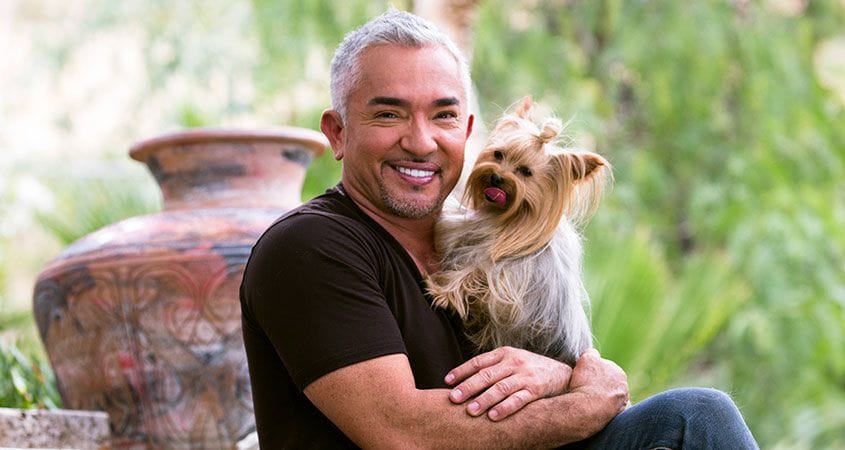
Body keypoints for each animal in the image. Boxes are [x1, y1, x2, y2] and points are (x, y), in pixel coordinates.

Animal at [428, 98, 608, 366]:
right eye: (498, 154)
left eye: (526, 171)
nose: (496, 177)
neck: (507, 217)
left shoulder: (509, 279)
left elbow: (477, 273)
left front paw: (443, 293)